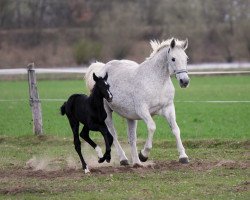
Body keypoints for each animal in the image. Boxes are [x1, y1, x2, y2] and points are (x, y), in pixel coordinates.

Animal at [85, 38, 189, 166]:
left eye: (186, 58)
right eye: (173, 58)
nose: (184, 81)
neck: (156, 81)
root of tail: (102, 69)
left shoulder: (168, 108)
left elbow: (175, 129)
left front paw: (183, 157)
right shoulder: (142, 110)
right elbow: (152, 127)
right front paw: (144, 154)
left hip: (130, 117)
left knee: (131, 138)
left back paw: (136, 162)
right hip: (107, 113)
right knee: (113, 134)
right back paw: (124, 159)